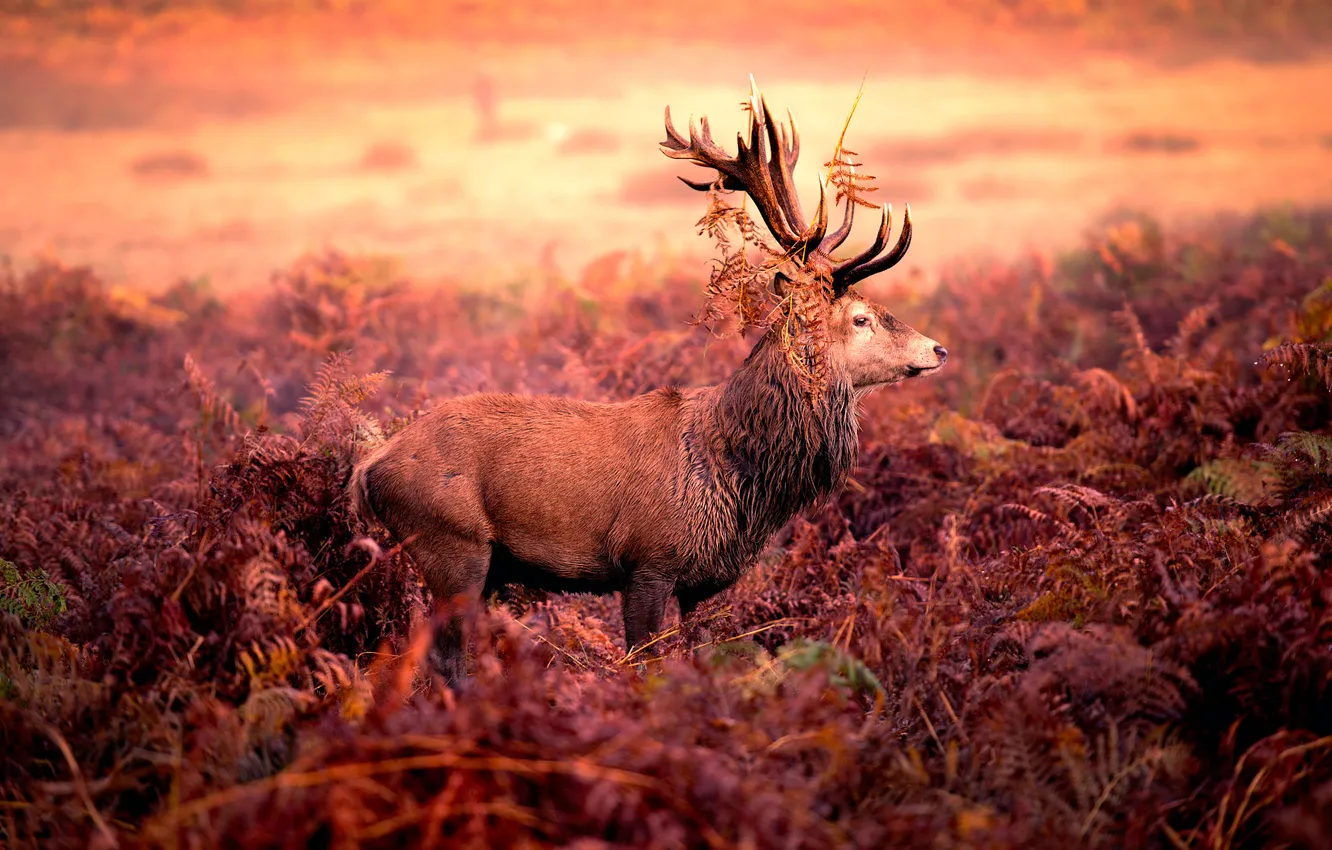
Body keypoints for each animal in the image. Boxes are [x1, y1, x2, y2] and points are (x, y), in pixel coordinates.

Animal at [348, 81, 943, 687]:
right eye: (861, 318)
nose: (937, 349)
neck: (741, 477)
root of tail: (369, 469)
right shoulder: (647, 561)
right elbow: (644, 665)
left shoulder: (701, 585)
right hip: (451, 544)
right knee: (445, 655)